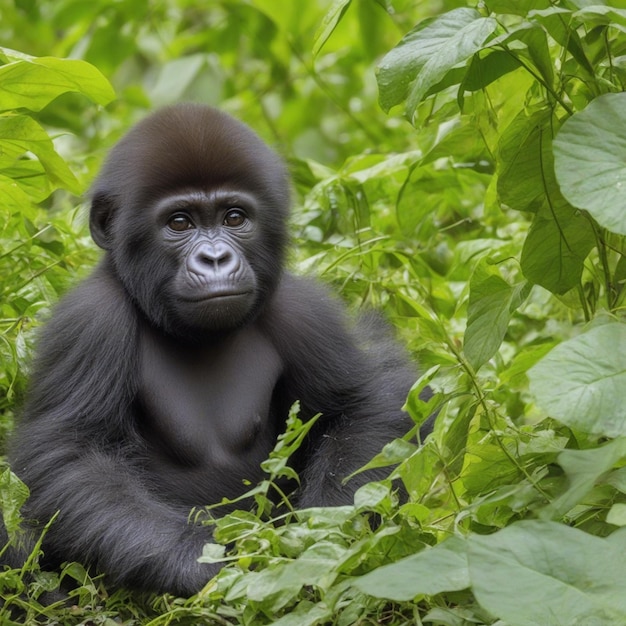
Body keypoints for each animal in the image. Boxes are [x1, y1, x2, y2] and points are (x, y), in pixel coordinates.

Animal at [2, 103, 424, 596]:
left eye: (234, 218)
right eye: (179, 222)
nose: (217, 259)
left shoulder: (300, 309)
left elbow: (364, 404)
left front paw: (322, 533)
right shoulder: (90, 320)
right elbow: (70, 458)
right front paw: (200, 562)